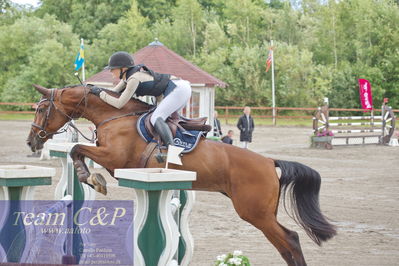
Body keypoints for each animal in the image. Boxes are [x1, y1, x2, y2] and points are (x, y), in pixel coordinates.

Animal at [26, 84, 336, 264]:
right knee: (287, 243)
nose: (32, 142)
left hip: (255, 212)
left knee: (290, 240)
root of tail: (270, 162)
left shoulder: (114, 157)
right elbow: (77, 149)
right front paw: (91, 177)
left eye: (41, 109)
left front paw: (92, 178)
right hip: (261, 213)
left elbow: (77, 148)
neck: (115, 116)